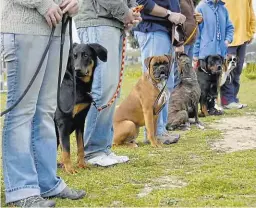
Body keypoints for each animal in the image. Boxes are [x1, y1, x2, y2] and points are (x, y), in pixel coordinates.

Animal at [54, 42, 107, 174]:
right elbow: (66, 149)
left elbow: (81, 146)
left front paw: (82, 165)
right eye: (73, 56)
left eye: (86, 55)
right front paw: (69, 169)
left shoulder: (80, 120)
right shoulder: (63, 121)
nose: (77, 70)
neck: (77, 84)